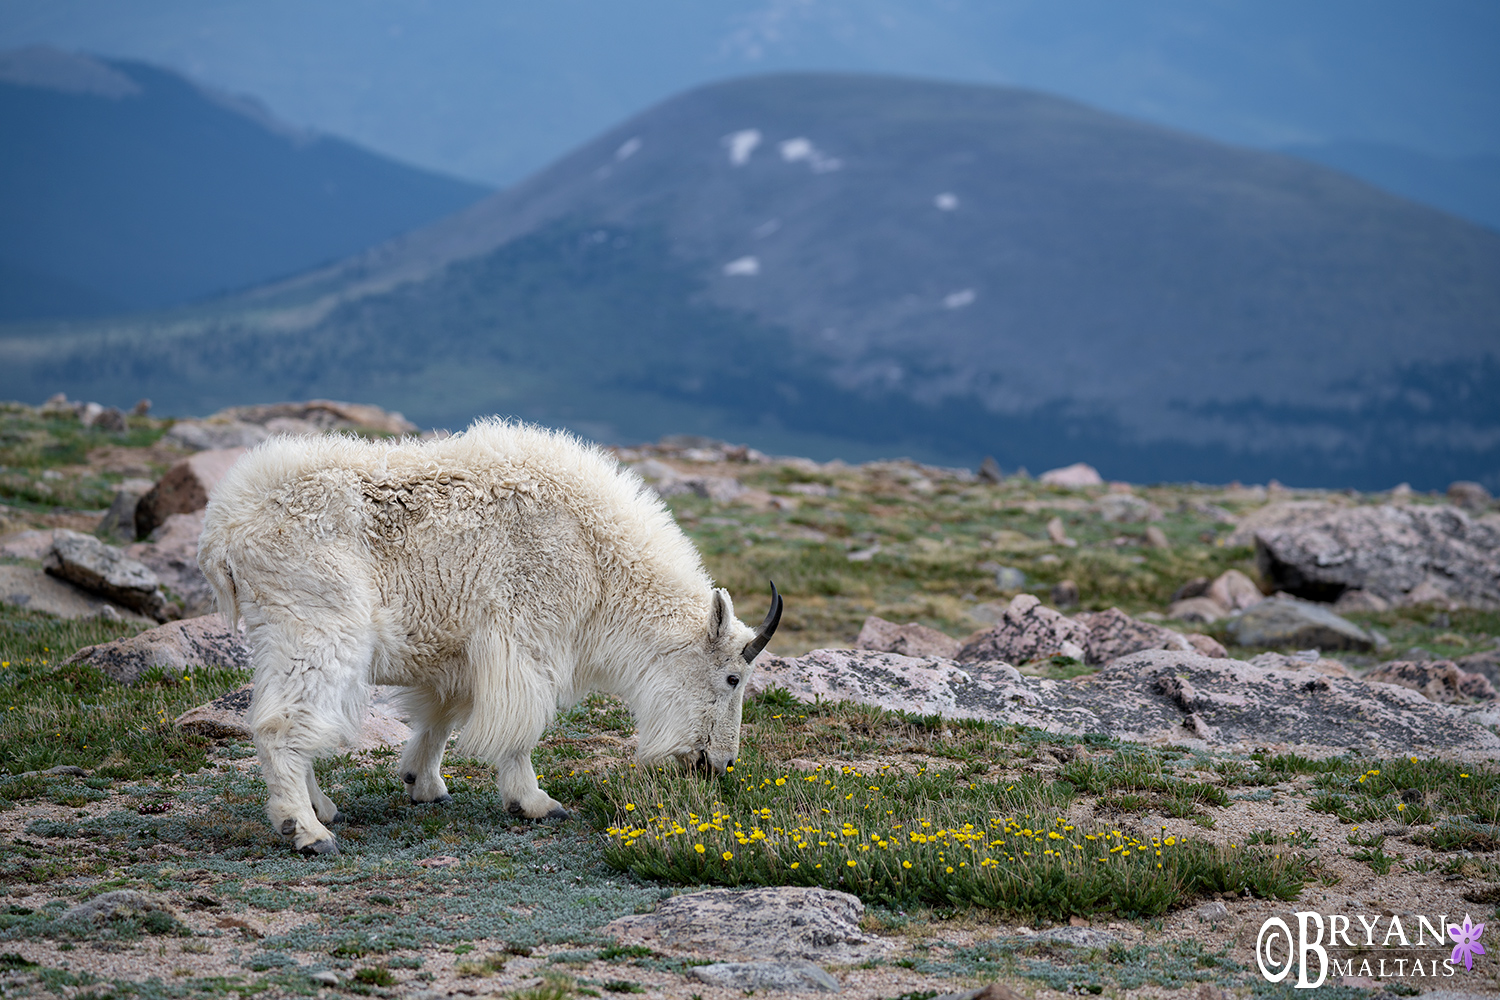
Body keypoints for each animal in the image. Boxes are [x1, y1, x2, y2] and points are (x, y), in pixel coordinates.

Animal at [199, 419, 786, 851]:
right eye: (733, 678)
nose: (719, 764)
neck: (599, 557)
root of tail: (224, 532)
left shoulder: (459, 652)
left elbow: (440, 717)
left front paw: (423, 785)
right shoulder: (525, 636)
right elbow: (520, 724)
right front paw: (535, 803)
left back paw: (320, 807)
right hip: (316, 625)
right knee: (280, 725)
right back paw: (305, 829)